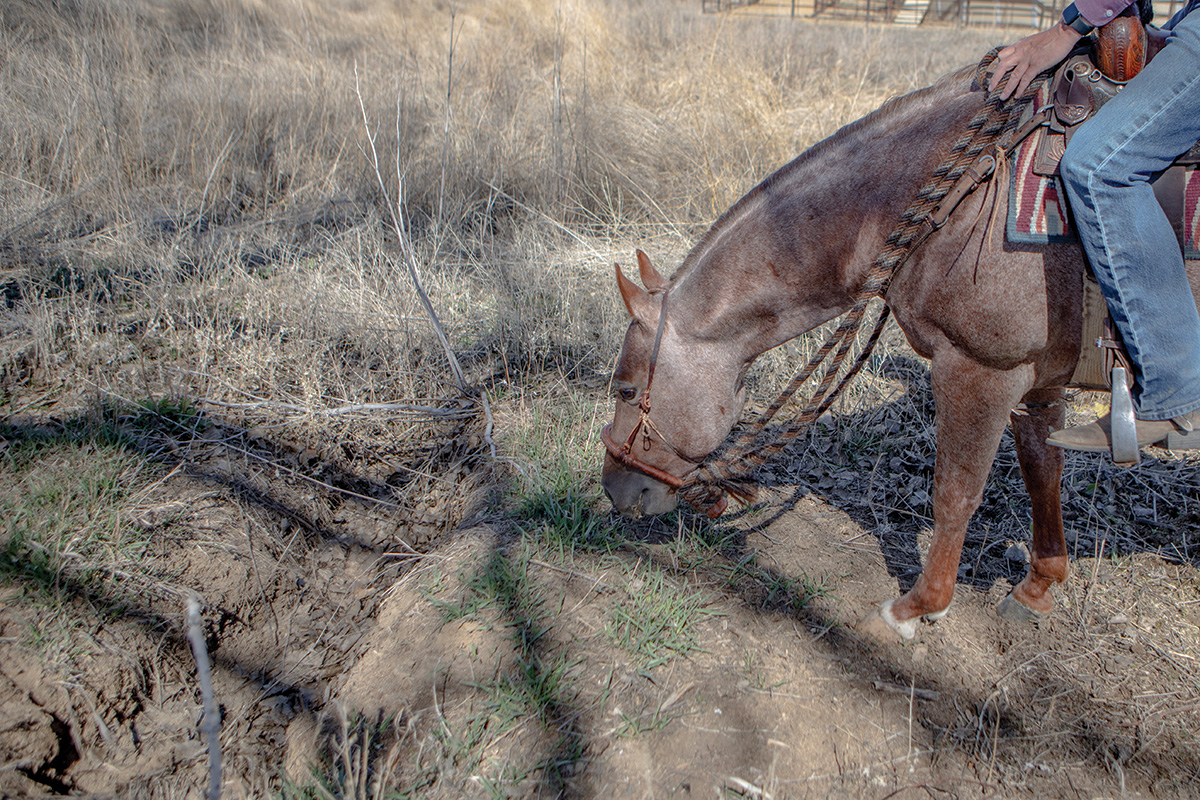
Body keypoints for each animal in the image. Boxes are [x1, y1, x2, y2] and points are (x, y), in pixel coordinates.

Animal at [597, 61, 1200, 638]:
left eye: (626, 388)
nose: (614, 491)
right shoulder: (1039, 381)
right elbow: (1042, 470)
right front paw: (1037, 588)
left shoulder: (979, 372)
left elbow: (955, 493)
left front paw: (914, 609)